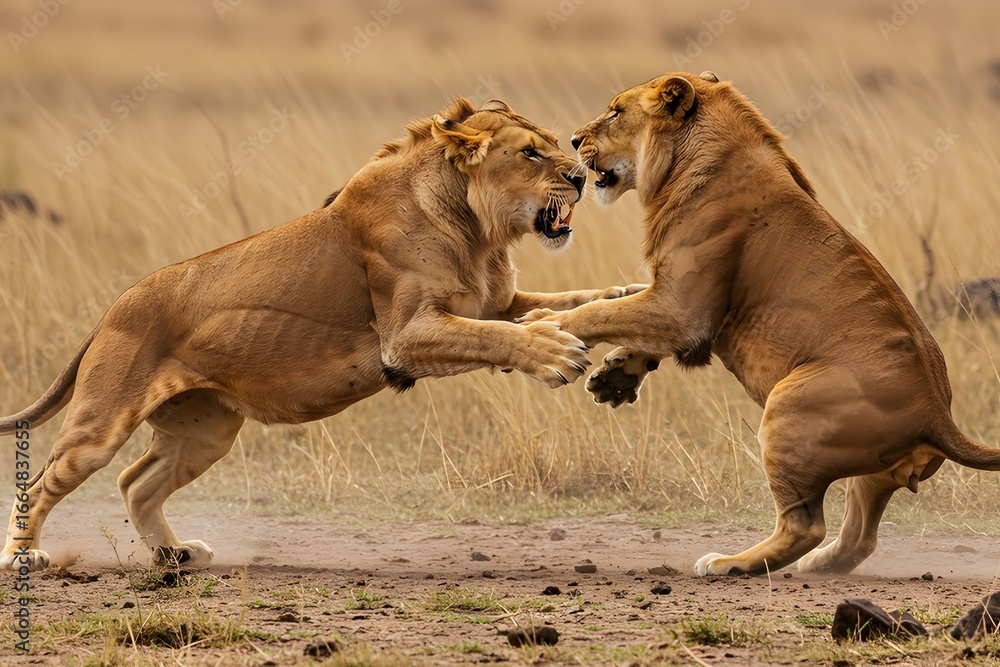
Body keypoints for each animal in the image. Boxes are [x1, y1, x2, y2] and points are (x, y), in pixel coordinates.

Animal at [1, 98, 637, 572]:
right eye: (529, 153)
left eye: (554, 144)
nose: (580, 178)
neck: (478, 233)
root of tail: (113, 307)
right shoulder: (405, 337)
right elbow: (496, 336)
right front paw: (554, 351)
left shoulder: (494, 302)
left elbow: (562, 302)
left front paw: (620, 297)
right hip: (100, 425)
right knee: (44, 481)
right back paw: (26, 557)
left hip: (207, 432)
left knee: (136, 481)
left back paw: (175, 554)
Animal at [522, 71, 1000, 576]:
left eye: (616, 112)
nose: (575, 141)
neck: (689, 163)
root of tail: (937, 414)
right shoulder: (677, 306)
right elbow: (626, 315)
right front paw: (615, 375)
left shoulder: (682, 306)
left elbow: (602, 311)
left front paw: (546, 324)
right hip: (870, 474)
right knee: (859, 535)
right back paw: (820, 566)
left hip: (786, 408)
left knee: (805, 526)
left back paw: (728, 562)